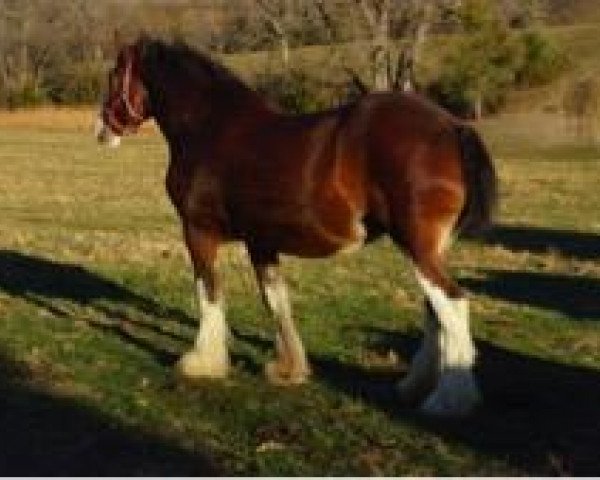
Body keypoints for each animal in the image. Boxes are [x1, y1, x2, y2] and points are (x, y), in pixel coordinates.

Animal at [95, 36, 496, 416]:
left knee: (452, 303)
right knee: (434, 311)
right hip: (427, 249)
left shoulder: (198, 232)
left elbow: (208, 293)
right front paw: (289, 369)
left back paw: (448, 400)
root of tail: (452, 126)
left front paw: (203, 363)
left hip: (417, 246)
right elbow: (276, 300)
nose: (102, 130)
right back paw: (415, 387)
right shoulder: (261, 242)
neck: (210, 126)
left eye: (114, 74)